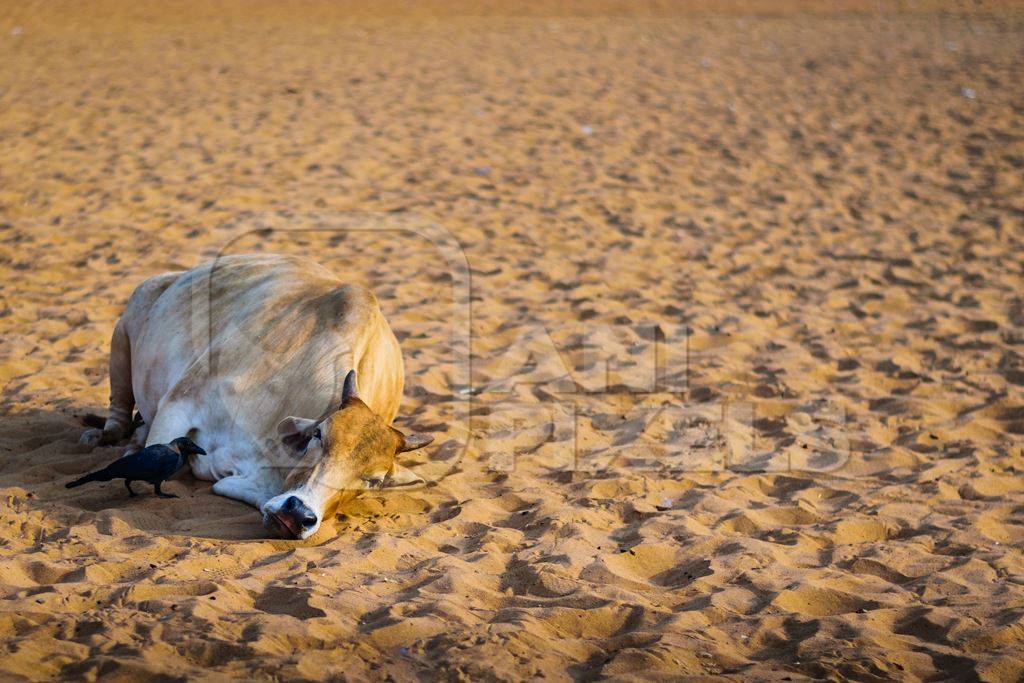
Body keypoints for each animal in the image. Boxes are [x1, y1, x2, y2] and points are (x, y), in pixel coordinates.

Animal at [77, 252, 432, 540]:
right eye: (319, 435)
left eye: (373, 480)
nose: (298, 514)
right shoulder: (180, 403)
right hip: (125, 329)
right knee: (119, 412)